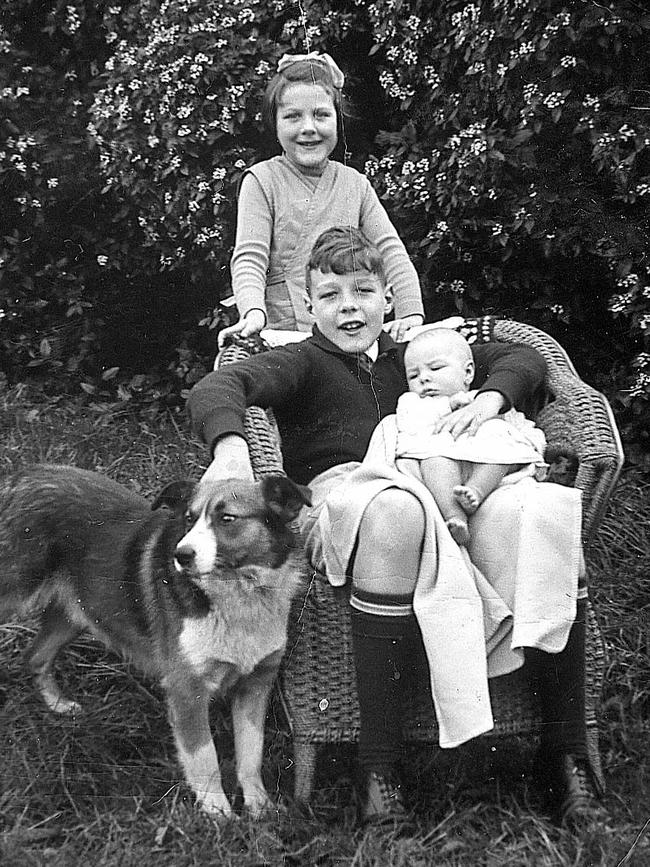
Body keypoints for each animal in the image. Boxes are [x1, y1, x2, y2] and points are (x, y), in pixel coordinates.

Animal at [0, 464, 312, 816]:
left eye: (227, 518)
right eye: (189, 518)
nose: (181, 555)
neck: (239, 594)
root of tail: (18, 476)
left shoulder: (255, 686)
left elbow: (250, 756)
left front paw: (260, 808)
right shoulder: (187, 691)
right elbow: (205, 759)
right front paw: (218, 814)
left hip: (73, 614)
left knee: (35, 657)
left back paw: (58, 704)